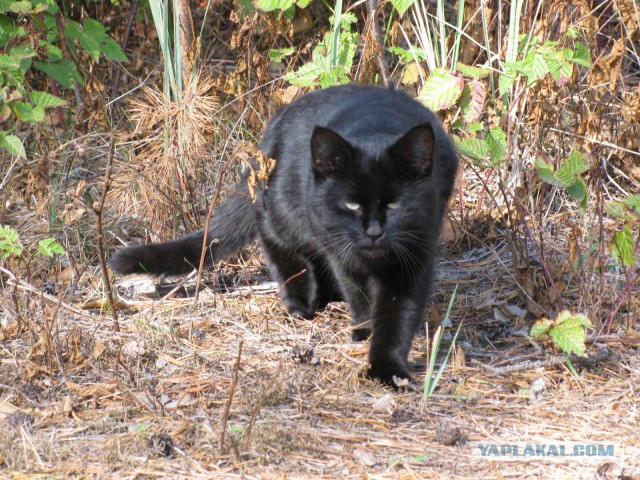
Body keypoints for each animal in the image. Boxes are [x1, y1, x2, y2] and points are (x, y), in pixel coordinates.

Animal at [112, 84, 458, 388]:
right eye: (351, 204)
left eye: (395, 204)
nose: (373, 232)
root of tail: (272, 131)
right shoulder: (343, 252)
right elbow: (359, 294)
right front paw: (365, 331)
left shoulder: (414, 255)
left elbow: (398, 315)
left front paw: (388, 369)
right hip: (285, 207)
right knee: (275, 238)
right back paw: (301, 301)